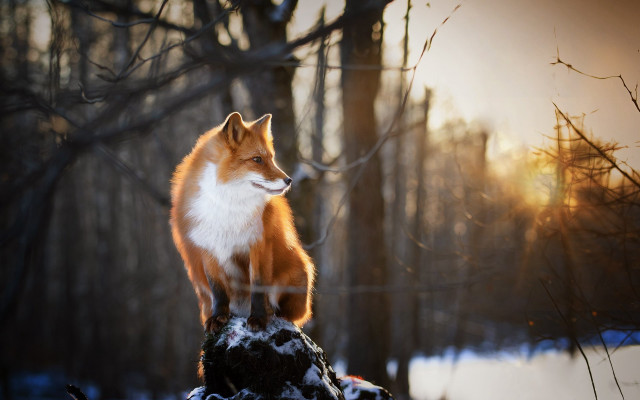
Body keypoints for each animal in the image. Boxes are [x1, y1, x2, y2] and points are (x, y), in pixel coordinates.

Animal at [170, 112, 314, 333]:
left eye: (271, 158)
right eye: (257, 159)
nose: (289, 180)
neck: (228, 207)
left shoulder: (259, 244)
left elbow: (258, 287)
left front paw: (259, 318)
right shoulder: (208, 250)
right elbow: (219, 291)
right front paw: (218, 317)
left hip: (298, 271)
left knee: (290, 314)